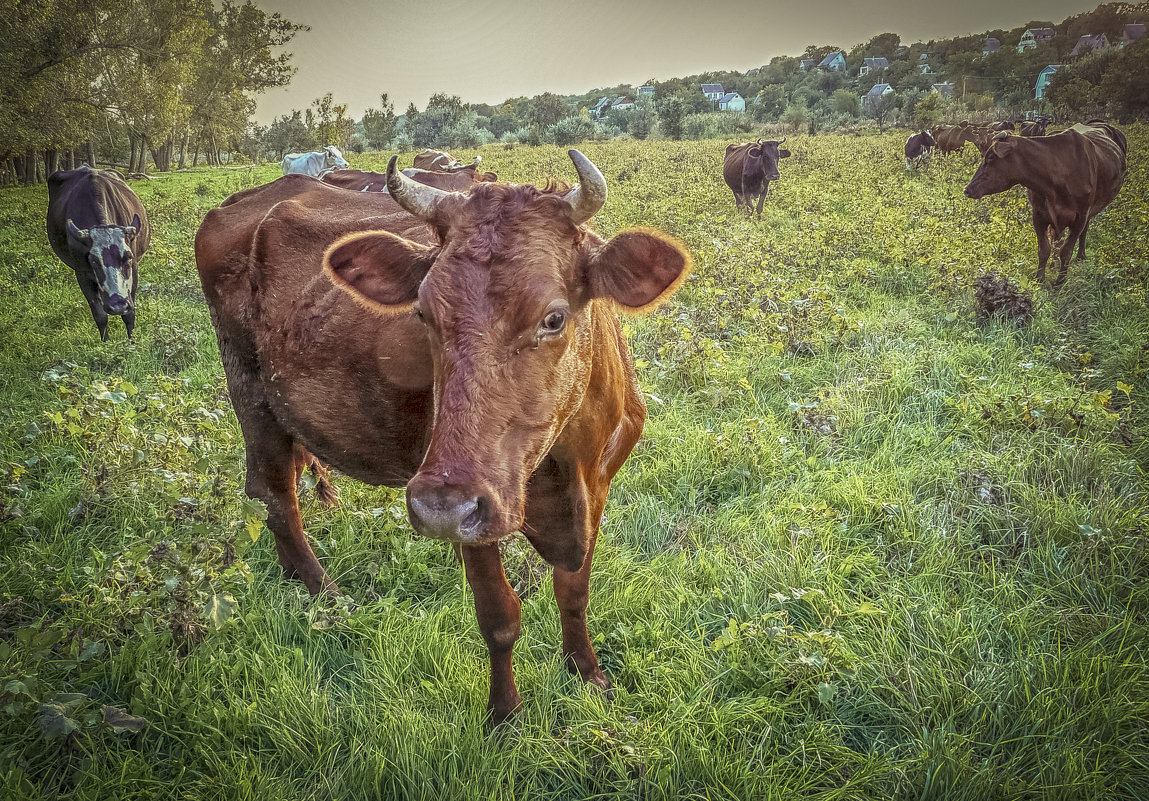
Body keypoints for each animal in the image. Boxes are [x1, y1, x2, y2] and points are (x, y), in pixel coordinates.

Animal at [195, 149, 689, 726]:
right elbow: (499, 616)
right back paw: (328, 596)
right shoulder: (470, 509)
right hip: (250, 391)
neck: (572, 466)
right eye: (423, 313)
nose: (440, 506)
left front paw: (587, 674)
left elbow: (575, 591)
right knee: (274, 495)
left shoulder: (596, 491)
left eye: (554, 318)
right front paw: (505, 716)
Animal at [965, 123, 1126, 286]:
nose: (967, 189)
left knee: (1081, 232)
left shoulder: (1080, 217)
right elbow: (1044, 249)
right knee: (1057, 238)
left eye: (991, 158)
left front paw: (1060, 281)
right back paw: (1054, 263)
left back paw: (1081, 256)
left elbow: (1066, 251)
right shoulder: (1039, 215)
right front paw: (1039, 279)